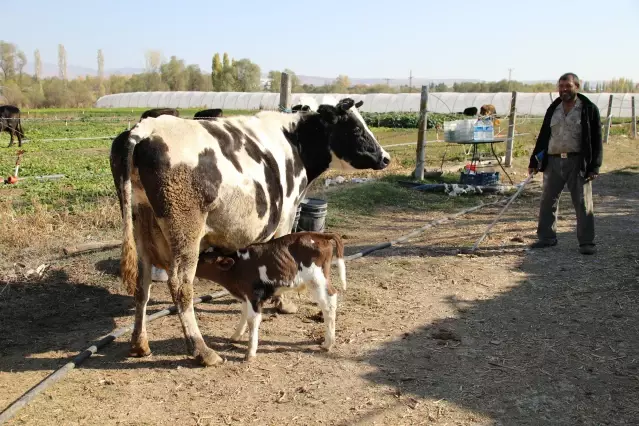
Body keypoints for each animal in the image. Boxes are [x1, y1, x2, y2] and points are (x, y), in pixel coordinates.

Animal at [196, 233, 344, 360]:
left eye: (203, 260)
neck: (237, 268)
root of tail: (319, 235)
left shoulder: (255, 295)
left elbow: (253, 320)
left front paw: (250, 353)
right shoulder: (245, 295)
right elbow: (244, 313)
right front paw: (236, 335)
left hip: (316, 279)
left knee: (329, 303)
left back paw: (328, 343)